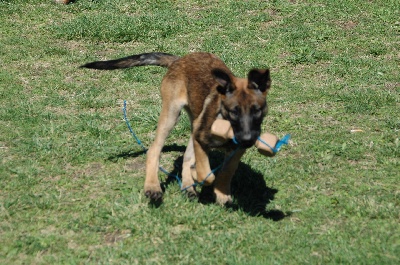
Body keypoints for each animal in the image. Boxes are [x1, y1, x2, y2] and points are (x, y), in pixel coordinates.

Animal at [81, 52, 270, 204]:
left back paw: (188, 187)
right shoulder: (201, 139)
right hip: (171, 114)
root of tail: (179, 59)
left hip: (193, 122)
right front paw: (198, 176)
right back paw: (153, 187)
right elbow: (206, 174)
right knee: (154, 150)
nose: (247, 139)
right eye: (234, 112)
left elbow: (226, 171)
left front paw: (222, 193)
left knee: (186, 156)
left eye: (257, 111)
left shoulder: (235, 150)